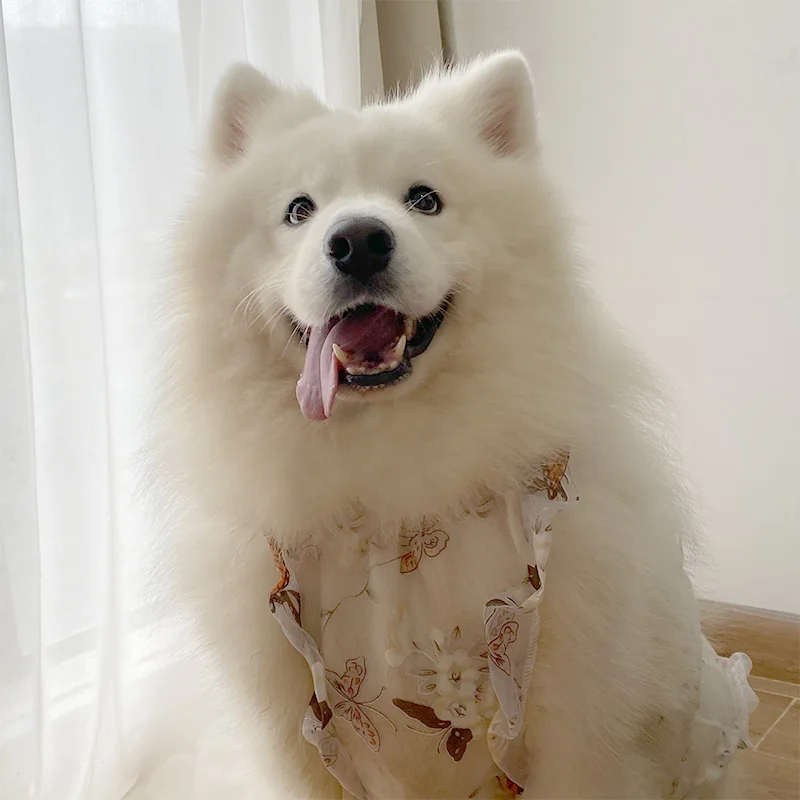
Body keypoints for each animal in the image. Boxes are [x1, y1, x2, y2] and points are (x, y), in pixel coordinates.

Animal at [147, 51, 756, 799]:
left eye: (424, 200)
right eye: (298, 210)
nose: (358, 241)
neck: (392, 504)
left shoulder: (578, 730)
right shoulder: (298, 740)